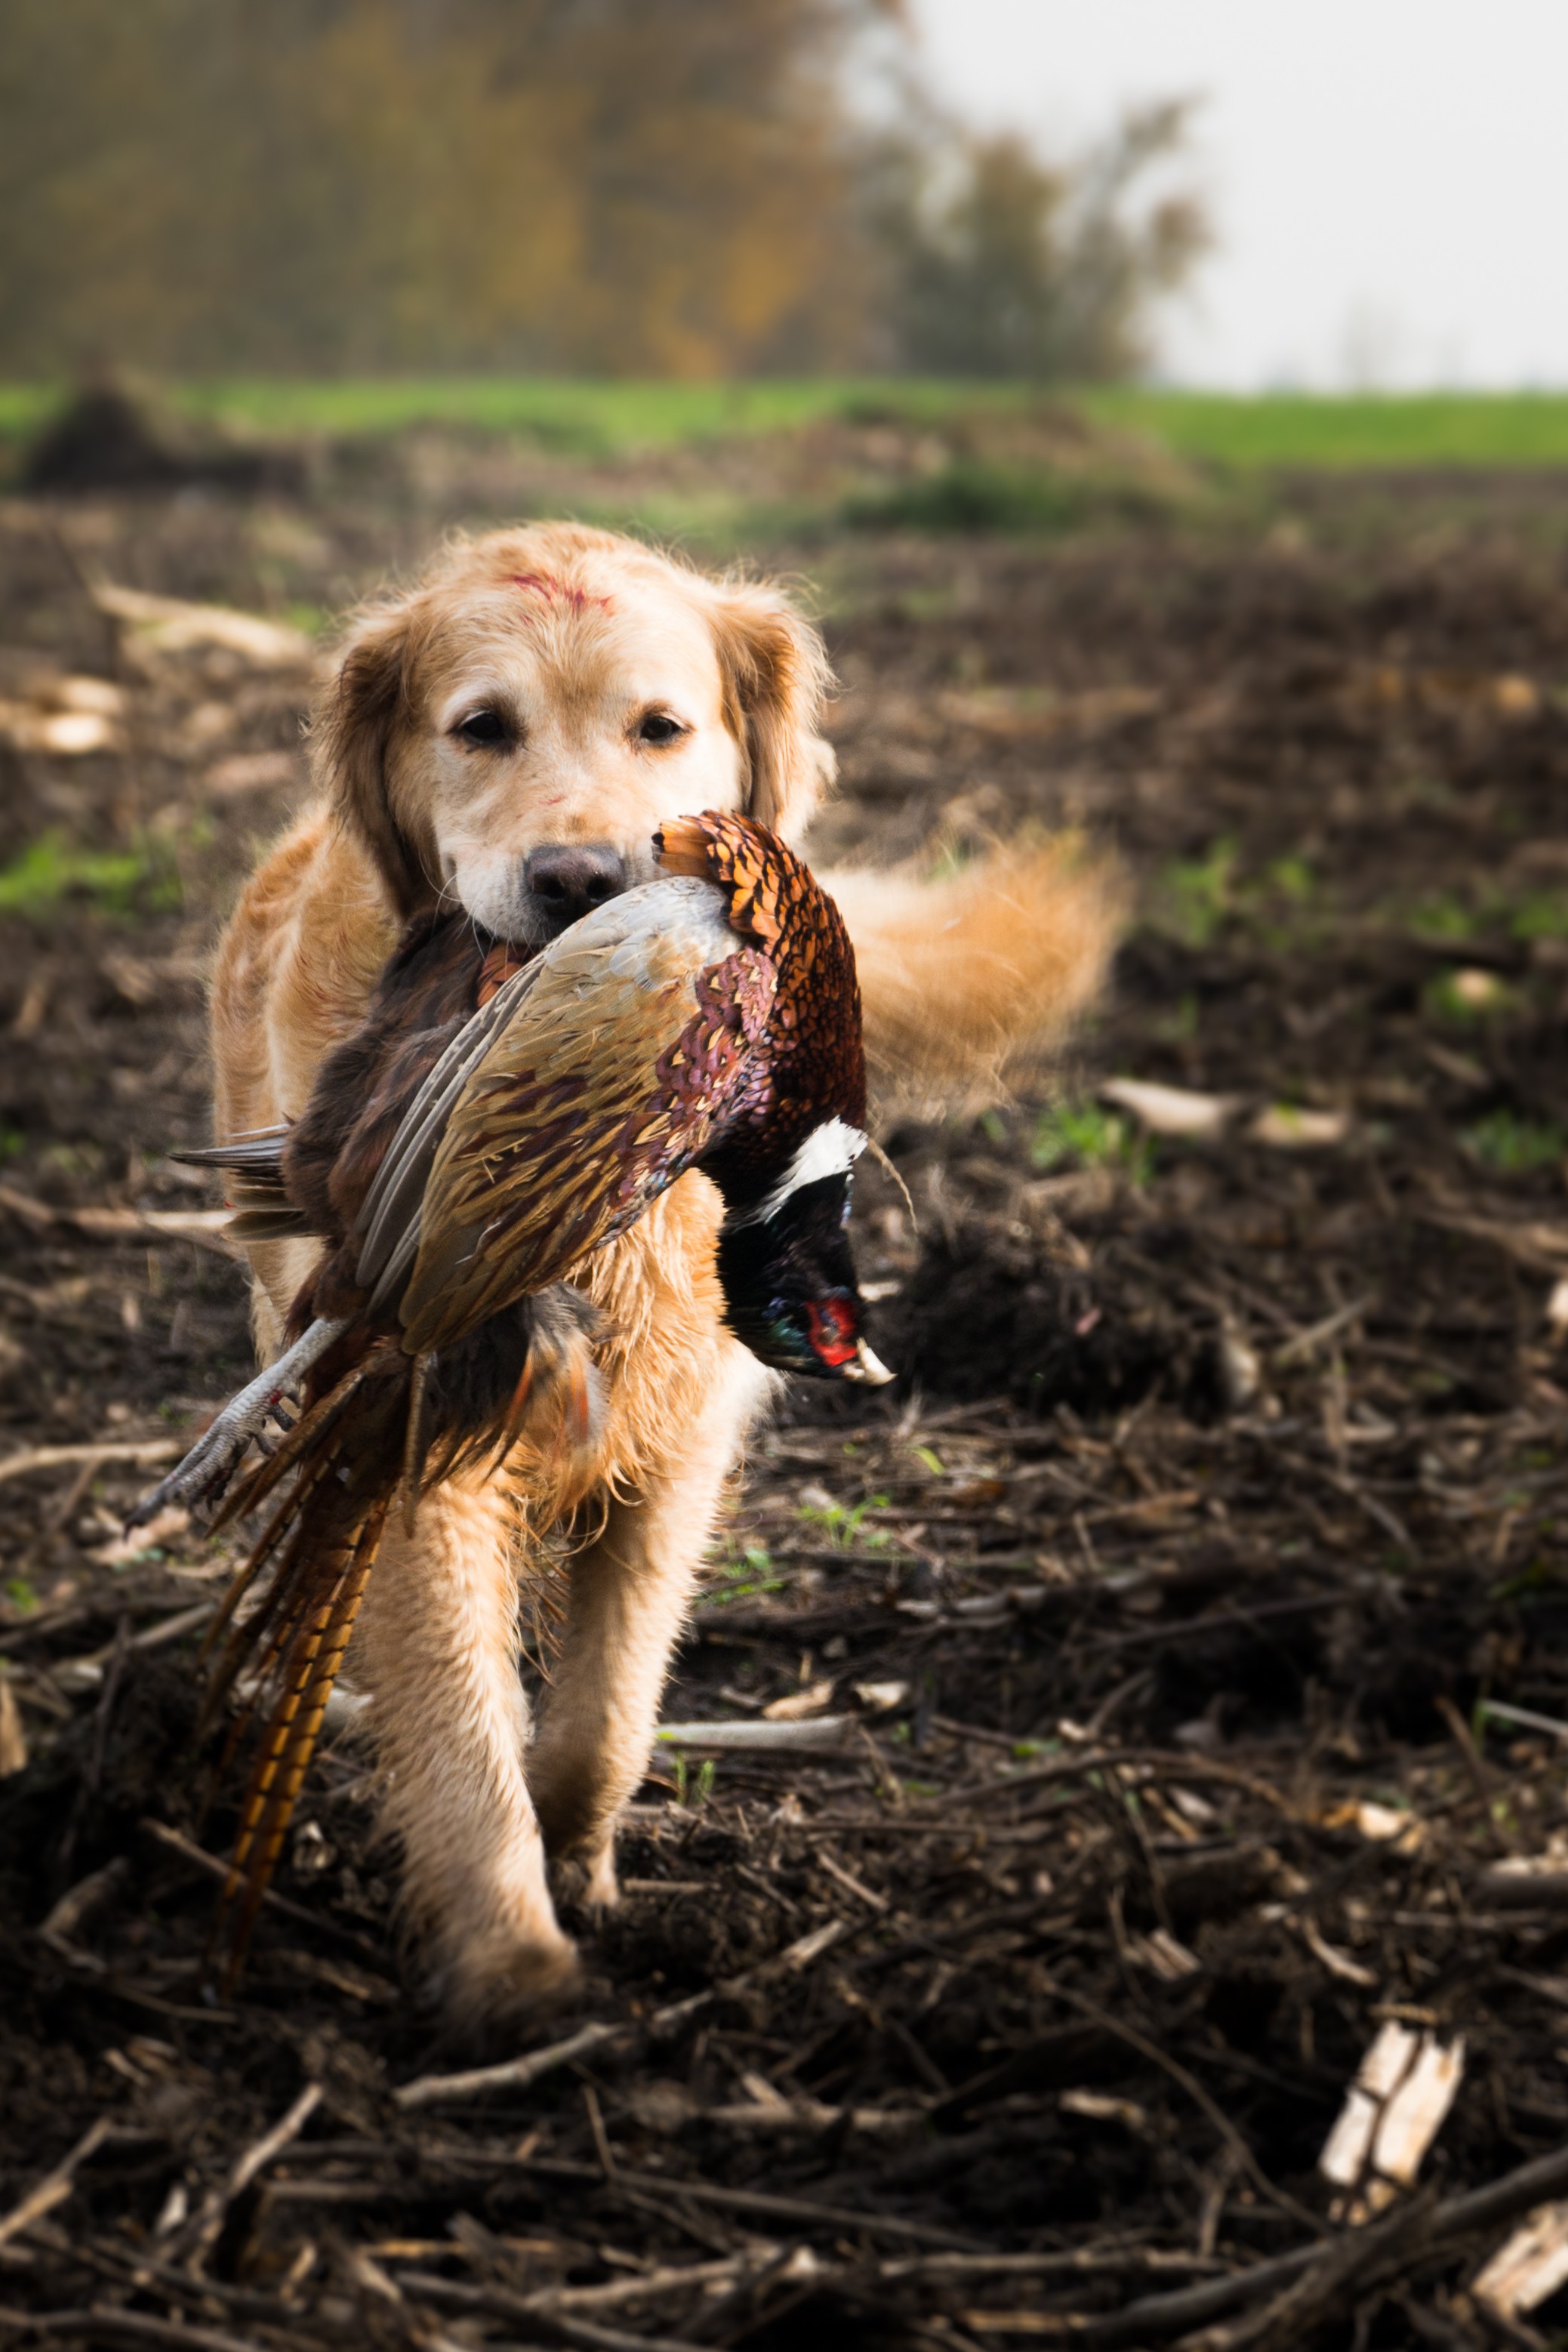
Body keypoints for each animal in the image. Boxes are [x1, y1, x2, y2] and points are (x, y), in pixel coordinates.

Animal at [208, 529, 1114, 2022]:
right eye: (481, 727)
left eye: (662, 727)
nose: (581, 879)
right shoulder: (414, 1436)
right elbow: (460, 1713)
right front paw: (515, 1970)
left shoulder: (683, 1436)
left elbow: (605, 1707)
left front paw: (578, 1861)